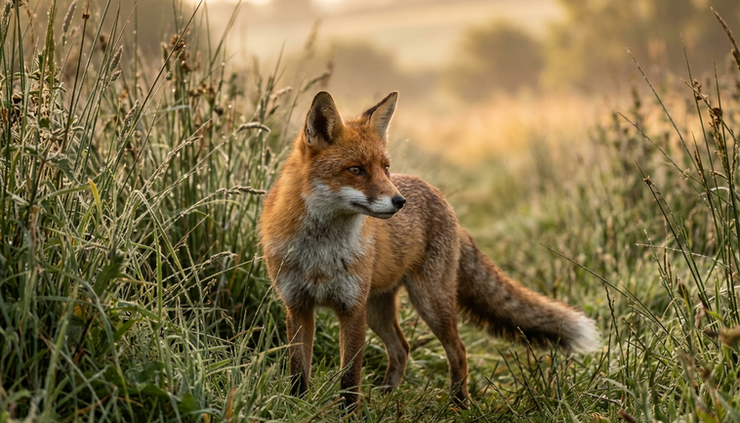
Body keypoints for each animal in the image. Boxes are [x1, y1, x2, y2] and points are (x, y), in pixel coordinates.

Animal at [259, 91, 600, 411]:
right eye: (355, 169)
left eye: (385, 168)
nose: (399, 202)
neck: (320, 253)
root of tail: (442, 199)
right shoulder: (297, 306)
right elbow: (298, 372)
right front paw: (296, 407)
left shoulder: (351, 309)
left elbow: (350, 379)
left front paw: (348, 414)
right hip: (378, 309)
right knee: (402, 348)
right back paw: (387, 397)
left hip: (429, 302)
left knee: (457, 351)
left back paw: (459, 403)